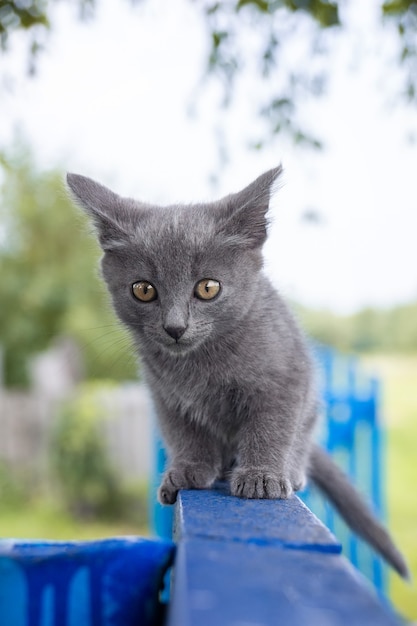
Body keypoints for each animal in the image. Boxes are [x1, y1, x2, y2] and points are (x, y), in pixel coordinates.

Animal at [67, 165, 406, 576]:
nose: (175, 327)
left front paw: (261, 475)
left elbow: (271, 426)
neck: (200, 363)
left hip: (310, 400)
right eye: (143, 290)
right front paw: (189, 468)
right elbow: (184, 431)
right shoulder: (165, 394)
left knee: (301, 437)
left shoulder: (285, 377)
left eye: (208, 288)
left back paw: (289, 472)